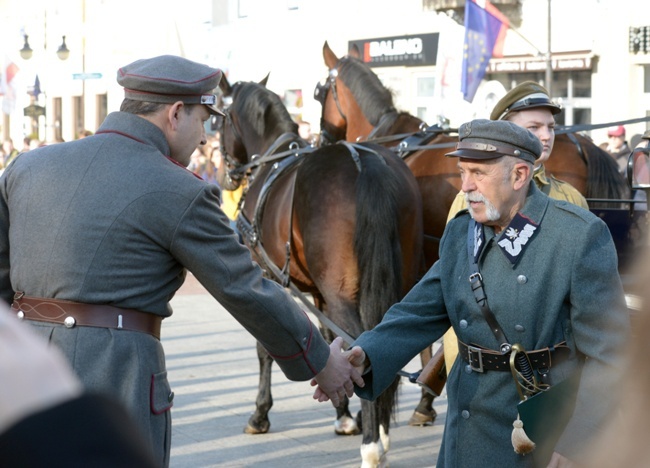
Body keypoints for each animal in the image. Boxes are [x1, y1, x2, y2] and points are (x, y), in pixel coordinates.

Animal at [215, 75, 422, 466]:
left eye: (219, 121)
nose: (224, 176)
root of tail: (363, 164)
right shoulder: (319, 294)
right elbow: (330, 342)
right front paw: (344, 414)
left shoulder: (266, 277)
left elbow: (266, 346)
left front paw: (260, 413)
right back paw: (379, 429)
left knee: (362, 345)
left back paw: (372, 446)